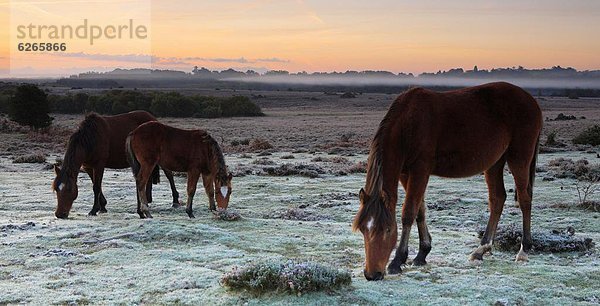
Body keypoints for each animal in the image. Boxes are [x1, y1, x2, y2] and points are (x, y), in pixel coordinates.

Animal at [352, 81, 544, 280]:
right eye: (363, 229)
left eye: (388, 230)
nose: (372, 274)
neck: (408, 124)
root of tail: (531, 100)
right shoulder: (406, 174)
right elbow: (420, 210)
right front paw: (422, 253)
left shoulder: (420, 170)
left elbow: (408, 212)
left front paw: (397, 261)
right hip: (495, 163)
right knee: (498, 199)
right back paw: (481, 250)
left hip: (519, 159)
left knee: (524, 199)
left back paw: (523, 250)